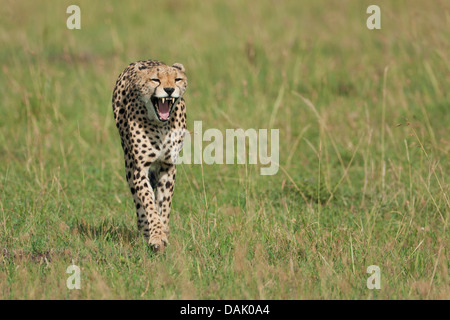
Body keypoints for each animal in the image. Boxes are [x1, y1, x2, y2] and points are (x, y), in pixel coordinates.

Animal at [113, 59, 189, 250]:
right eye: (155, 79)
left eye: (177, 79)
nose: (169, 90)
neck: (160, 125)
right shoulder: (139, 168)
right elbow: (148, 202)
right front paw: (156, 235)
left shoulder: (168, 166)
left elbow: (164, 203)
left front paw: (164, 230)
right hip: (129, 165)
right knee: (139, 201)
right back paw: (144, 229)